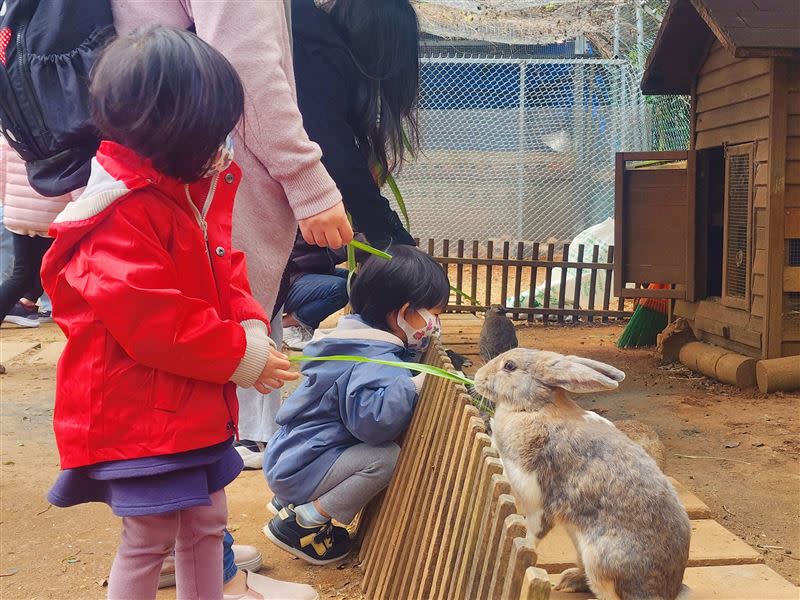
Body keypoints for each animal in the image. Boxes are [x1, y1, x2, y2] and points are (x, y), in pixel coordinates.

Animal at [472, 350, 692, 596]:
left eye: (509, 366)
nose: (478, 377)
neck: (533, 408)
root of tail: (669, 589)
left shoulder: (536, 497)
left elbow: (531, 535)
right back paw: (569, 581)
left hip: (601, 563)